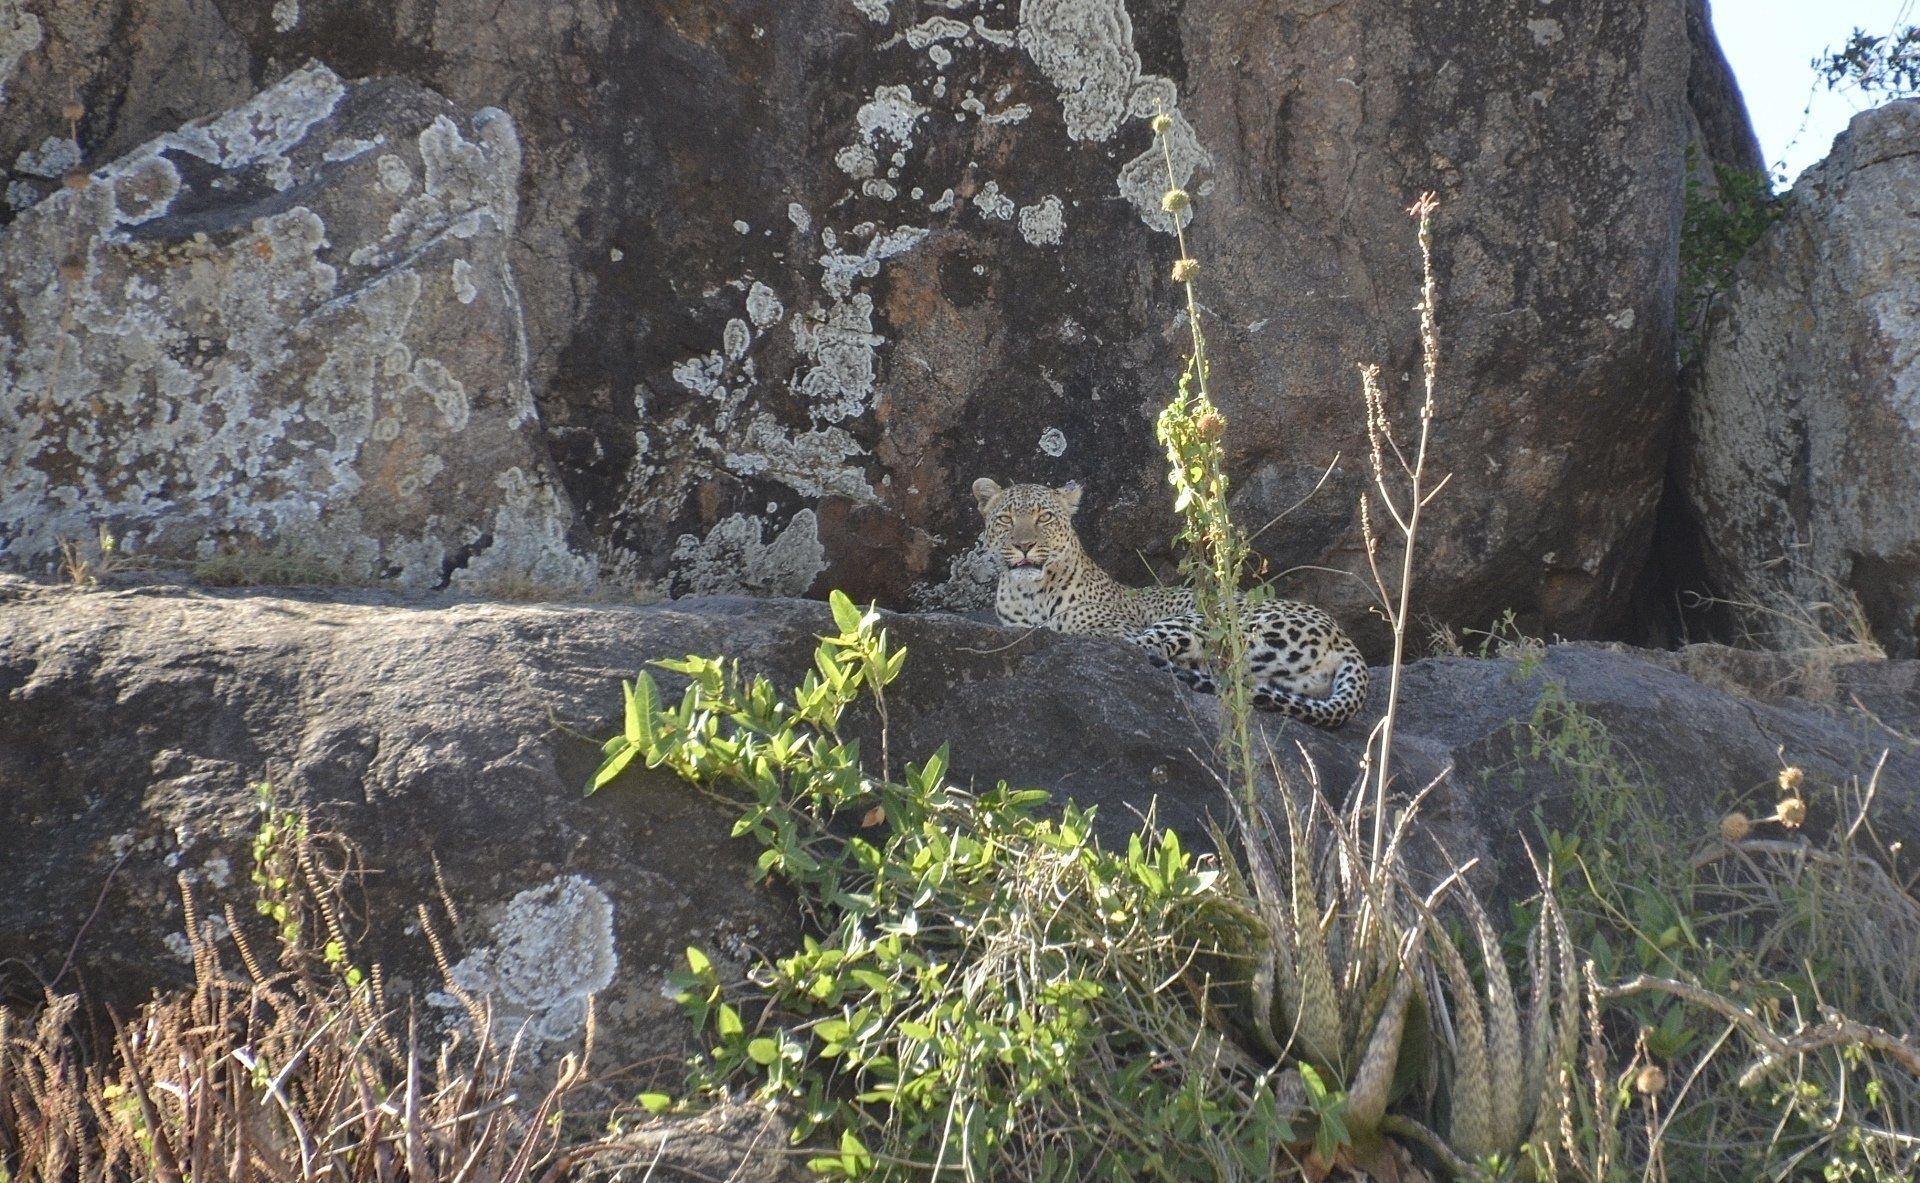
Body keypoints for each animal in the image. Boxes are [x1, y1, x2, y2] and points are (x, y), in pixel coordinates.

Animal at [972, 477, 1370, 729]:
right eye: (1005, 519)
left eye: (1045, 517)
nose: (1024, 545)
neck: (1029, 597)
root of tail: (1344, 638)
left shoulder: (1114, 626)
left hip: (1214, 618)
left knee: (1144, 648)